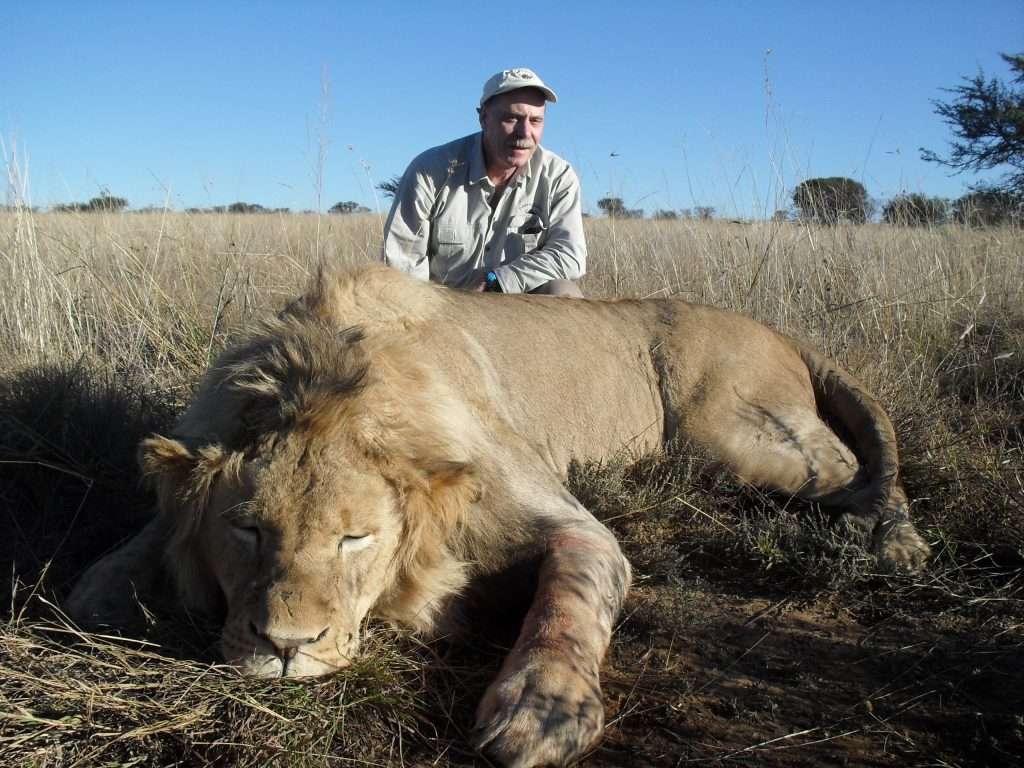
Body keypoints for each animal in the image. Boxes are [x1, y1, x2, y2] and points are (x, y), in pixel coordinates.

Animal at [68, 265, 930, 767]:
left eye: (355, 538)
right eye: (247, 530)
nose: (285, 646)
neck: (331, 386)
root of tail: (777, 327)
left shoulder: (572, 522)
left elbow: (569, 601)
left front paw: (542, 712)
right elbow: (122, 561)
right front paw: (104, 594)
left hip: (722, 432)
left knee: (852, 464)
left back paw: (896, 541)